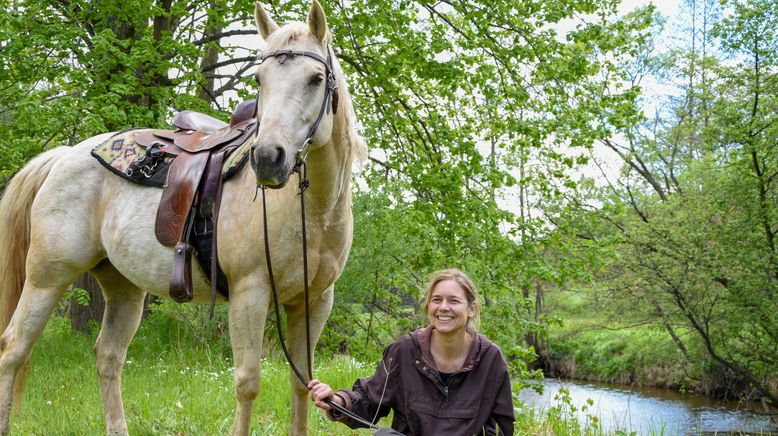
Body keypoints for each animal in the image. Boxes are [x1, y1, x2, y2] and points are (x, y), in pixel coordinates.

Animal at [0, 1, 364, 434]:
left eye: (315, 78)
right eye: (259, 79)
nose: (267, 159)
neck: (313, 212)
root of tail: (63, 157)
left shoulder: (316, 301)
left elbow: (302, 385)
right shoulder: (251, 294)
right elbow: (248, 384)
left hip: (123, 286)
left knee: (107, 356)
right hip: (46, 278)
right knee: (13, 350)